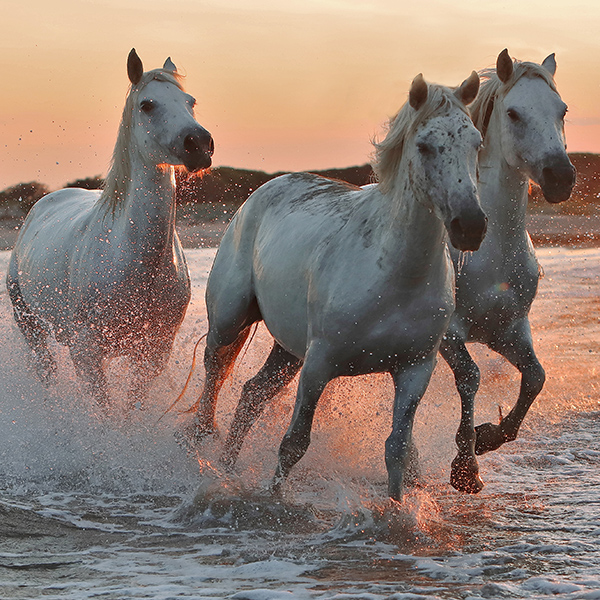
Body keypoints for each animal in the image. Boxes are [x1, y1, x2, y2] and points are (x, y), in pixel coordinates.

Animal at [7, 49, 213, 410]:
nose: (200, 144)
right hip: (29, 324)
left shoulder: (153, 353)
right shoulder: (86, 352)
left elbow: (130, 411)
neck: (133, 258)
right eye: (147, 104)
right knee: (46, 371)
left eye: (191, 101)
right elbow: (105, 414)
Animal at [185, 72, 486, 500]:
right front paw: (274, 502)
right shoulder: (319, 364)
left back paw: (226, 468)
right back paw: (202, 439)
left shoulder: (414, 371)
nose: (471, 225)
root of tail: (260, 193)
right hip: (231, 320)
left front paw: (396, 510)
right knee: (214, 372)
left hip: (288, 351)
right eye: (425, 145)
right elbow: (294, 444)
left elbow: (396, 449)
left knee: (251, 395)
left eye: (476, 142)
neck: (396, 276)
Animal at [446, 50, 576, 492]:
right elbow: (470, 377)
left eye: (562, 110)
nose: (561, 178)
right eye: (514, 113)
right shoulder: (450, 334)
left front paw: (488, 436)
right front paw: (466, 468)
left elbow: (536, 377)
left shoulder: (508, 329)